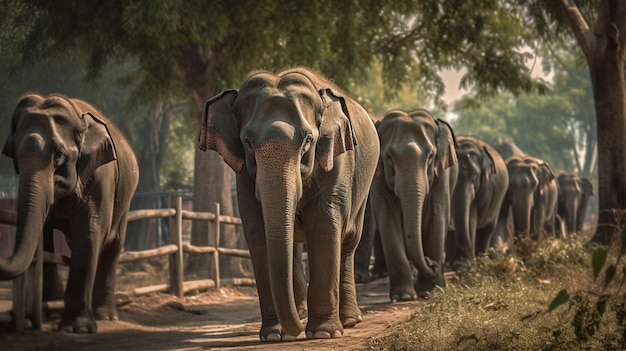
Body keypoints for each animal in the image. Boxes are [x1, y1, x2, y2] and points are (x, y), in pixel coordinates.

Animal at [0, 93, 139, 332]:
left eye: (59, 154)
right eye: (14, 155)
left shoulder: (101, 177)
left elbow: (90, 233)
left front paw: (78, 328)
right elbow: (44, 238)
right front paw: (50, 316)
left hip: (125, 201)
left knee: (112, 246)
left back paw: (106, 315)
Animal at [197, 67, 378, 342]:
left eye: (308, 140)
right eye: (247, 142)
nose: (298, 329)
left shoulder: (337, 163)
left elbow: (325, 225)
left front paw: (323, 334)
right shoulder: (245, 176)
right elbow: (257, 230)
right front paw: (274, 336)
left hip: (364, 185)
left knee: (348, 242)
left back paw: (348, 320)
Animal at [368, 108, 456, 302]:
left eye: (430, 156)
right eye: (388, 157)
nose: (432, 263)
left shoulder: (441, 175)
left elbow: (436, 215)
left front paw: (428, 292)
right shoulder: (378, 177)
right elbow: (388, 219)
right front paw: (404, 297)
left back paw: (440, 284)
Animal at [444, 136, 508, 268]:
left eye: (474, 175)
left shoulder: (485, 189)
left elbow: (472, 216)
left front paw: (462, 265)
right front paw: (455, 264)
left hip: (497, 202)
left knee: (487, 229)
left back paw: (482, 260)